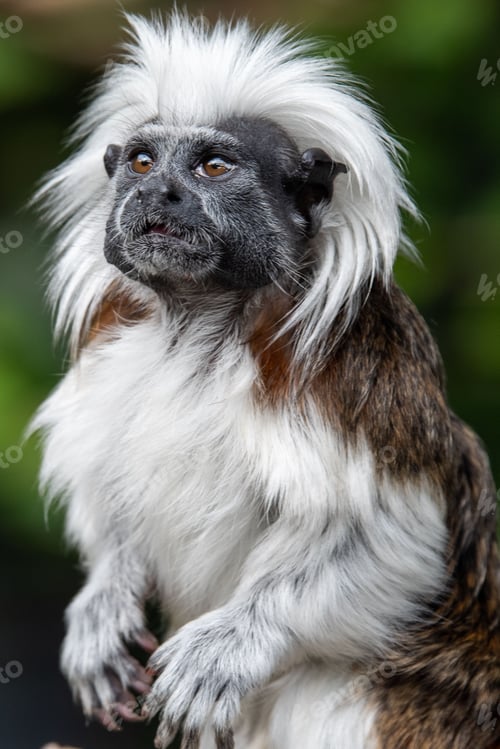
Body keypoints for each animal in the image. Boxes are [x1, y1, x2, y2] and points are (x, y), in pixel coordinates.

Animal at [31, 12, 500, 749]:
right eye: (142, 162)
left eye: (213, 166)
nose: (154, 193)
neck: (199, 328)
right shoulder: (114, 358)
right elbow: (112, 499)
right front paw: (102, 607)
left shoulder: (356, 380)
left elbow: (393, 537)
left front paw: (225, 647)